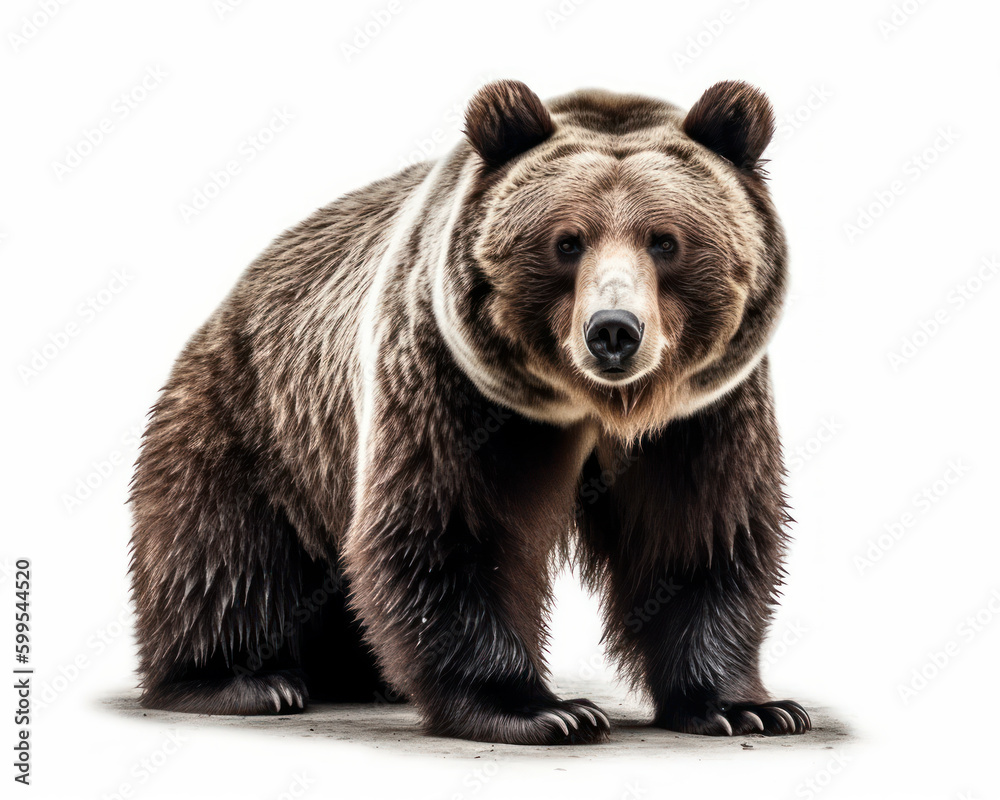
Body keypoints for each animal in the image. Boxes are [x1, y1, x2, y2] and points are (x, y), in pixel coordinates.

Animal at [128, 78, 811, 745]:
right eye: (567, 242)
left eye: (665, 241)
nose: (614, 331)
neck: (598, 406)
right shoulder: (455, 384)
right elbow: (452, 531)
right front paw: (545, 710)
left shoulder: (702, 413)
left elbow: (699, 535)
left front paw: (748, 708)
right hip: (257, 421)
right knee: (223, 554)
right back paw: (244, 681)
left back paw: (363, 678)